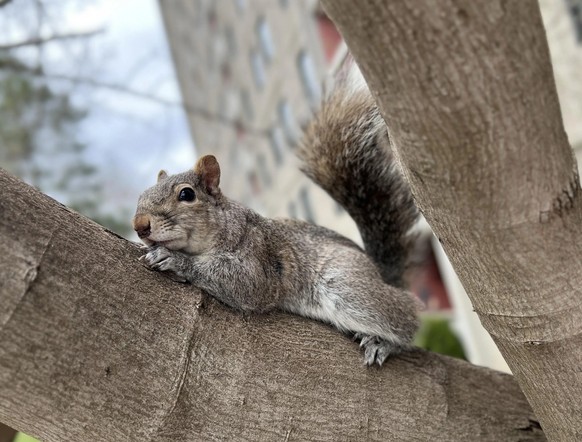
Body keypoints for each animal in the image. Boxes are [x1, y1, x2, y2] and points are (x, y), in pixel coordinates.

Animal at [133, 71, 420, 364]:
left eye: (187, 194)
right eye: (141, 194)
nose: (139, 226)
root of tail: (378, 271)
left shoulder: (258, 256)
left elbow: (245, 282)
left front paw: (174, 259)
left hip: (346, 283)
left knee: (408, 317)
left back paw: (384, 341)